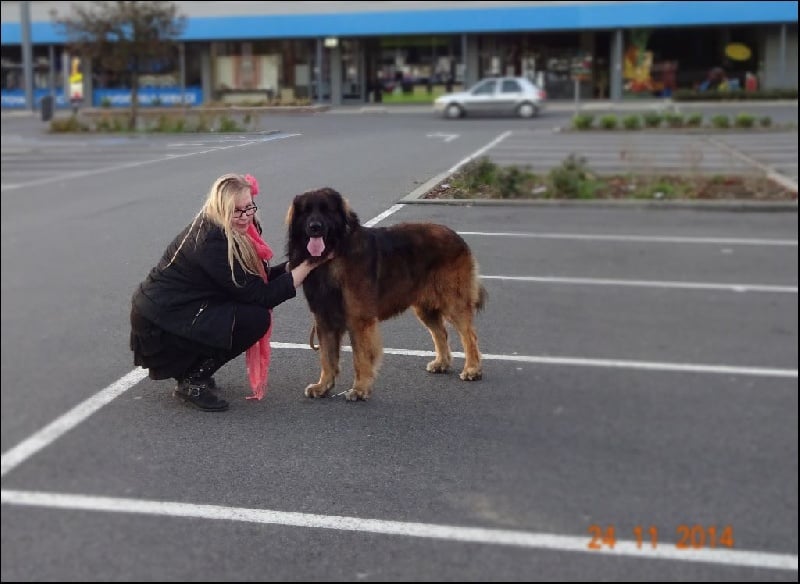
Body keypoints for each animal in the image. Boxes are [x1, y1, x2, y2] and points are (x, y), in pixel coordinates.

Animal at [285, 187, 486, 401]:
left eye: (326, 210)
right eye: (306, 211)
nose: (314, 227)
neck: (332, 255)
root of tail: (456, 235)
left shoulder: (359, 319)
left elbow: (361, 356)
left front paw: (360, 388)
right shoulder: (324, 318)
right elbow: (327, 356)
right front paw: (323, 386)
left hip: (453, 301)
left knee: (469, 335)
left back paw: (472, 369)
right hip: (425, 307)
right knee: (441, 332)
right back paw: (442, 363)